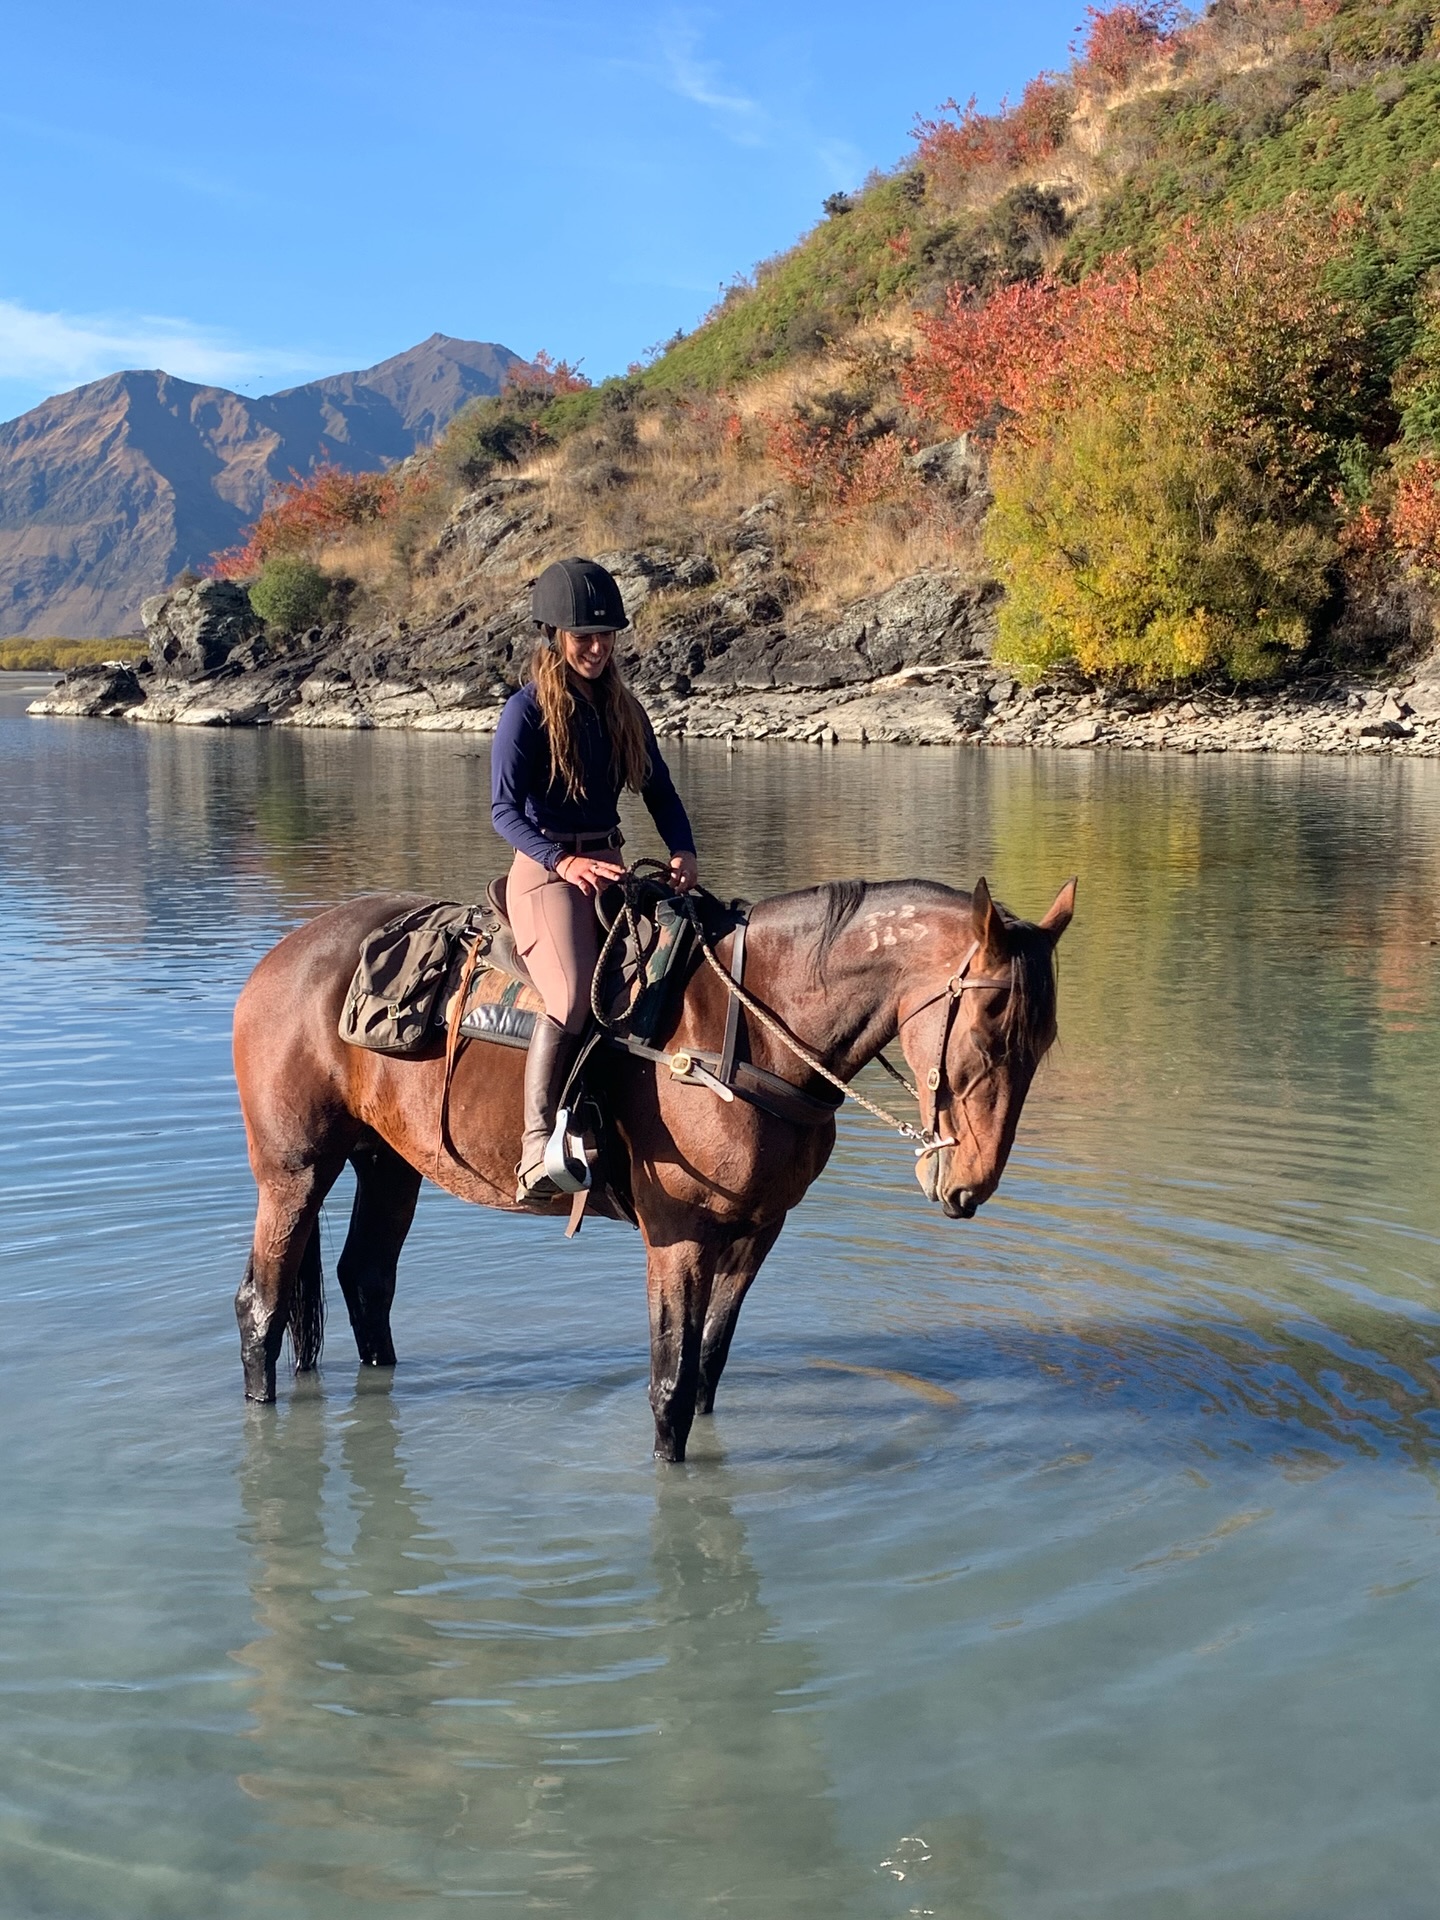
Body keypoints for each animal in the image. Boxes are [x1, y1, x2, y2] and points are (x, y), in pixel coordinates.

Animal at [232, 873, 1076, 1461]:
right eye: (989, 1032)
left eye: (1044, 1042)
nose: (967, 1185)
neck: (745, 1032)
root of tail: (284, 955)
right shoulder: (679, 1235)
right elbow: (670, 1384)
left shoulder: (757, 1232)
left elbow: (706, 1368)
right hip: (294, 1172)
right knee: (262, 1307)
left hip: (388, 1163)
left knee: (366, 1281)